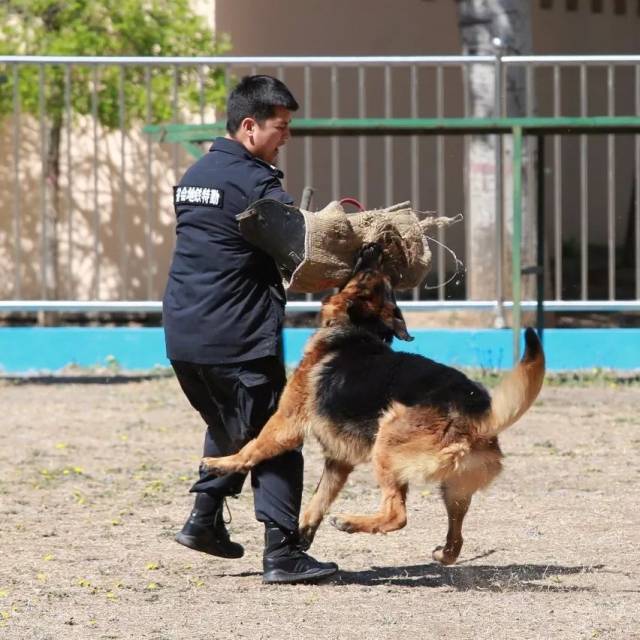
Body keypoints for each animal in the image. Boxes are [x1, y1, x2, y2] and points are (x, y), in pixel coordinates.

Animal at [201, 242, 544, 564]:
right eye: (378, 276)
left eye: (366, 274)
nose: (374, 247)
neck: (358, 329)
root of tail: (479, 413)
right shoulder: (338, 460)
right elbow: (317, 500)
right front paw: (301, 535)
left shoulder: (286, 422)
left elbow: (253, 448)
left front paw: (222, 463)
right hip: (454, 488)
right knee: (456, 536)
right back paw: (441, 554)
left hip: (387, 440)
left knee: (397, 515)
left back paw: (350, 522)